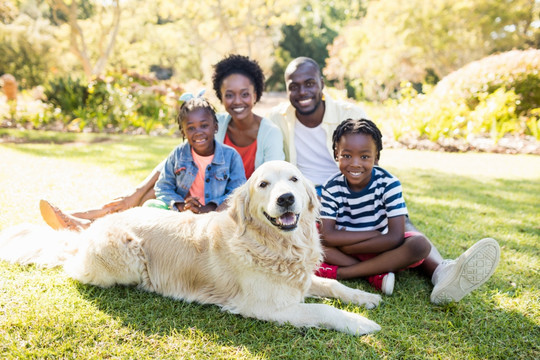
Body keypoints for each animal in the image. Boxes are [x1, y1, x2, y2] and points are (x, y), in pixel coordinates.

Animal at [0, 160, 382, 334]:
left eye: (293, 180)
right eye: (263, 184)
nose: (286, 199)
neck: (275, 245)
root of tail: (90, 230)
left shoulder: (297, 281)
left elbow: (330, 284)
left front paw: (365, 298)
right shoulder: (267, 307)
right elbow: (323, 310)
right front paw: (360, 323)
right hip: (125, 257)